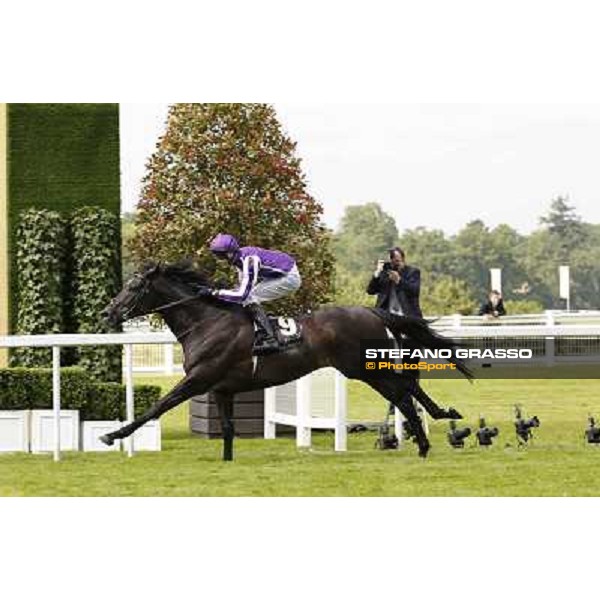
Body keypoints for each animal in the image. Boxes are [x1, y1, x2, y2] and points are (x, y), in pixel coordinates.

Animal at [101, 262, 472, 460]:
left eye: (133, 287)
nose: (107, 312)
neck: (208, 321)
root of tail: (371, 310)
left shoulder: (199, 379)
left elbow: (158, 406)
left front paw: (113, 435)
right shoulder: (221, 388)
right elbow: (228, 429)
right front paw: (227, 462)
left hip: (363, 368)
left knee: (404, 393)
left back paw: (427, 439)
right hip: (366, 368)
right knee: (407, 389)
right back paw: (438, 423)